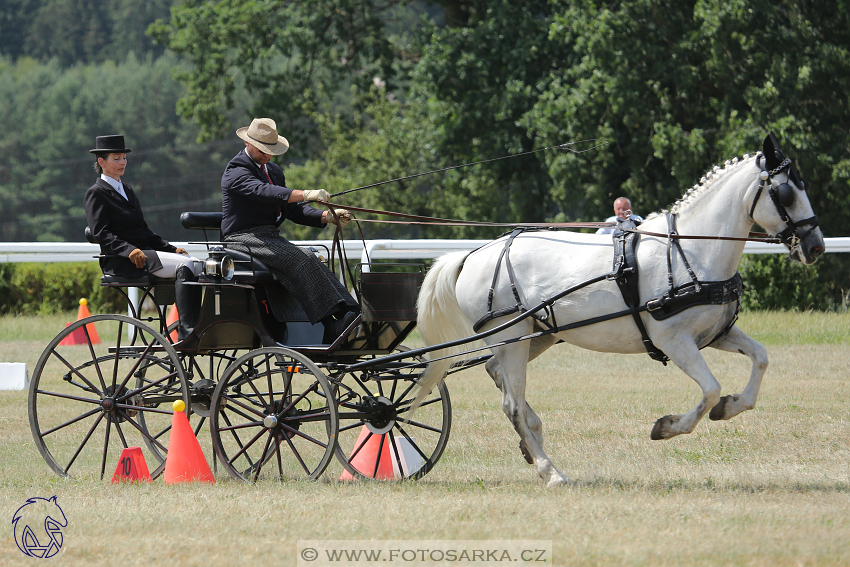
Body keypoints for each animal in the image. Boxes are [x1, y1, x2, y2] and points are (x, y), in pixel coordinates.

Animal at [414, 131, 824, 486]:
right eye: (786, 192)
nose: (816, 246)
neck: (692, 251)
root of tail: (472, 255)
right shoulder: (675, 341)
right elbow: (709, 389)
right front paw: (667, 427)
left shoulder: (715, 333)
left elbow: (761, 358)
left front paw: (732, 405)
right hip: (512, 336)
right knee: (510, 404)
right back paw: (550, 471)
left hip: (535, 336)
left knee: (497, 375)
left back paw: (533, 441)